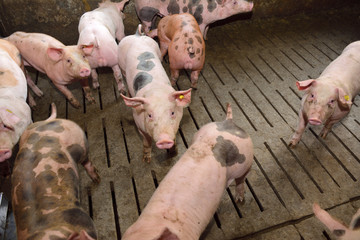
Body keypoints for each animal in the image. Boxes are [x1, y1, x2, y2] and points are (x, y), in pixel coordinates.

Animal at [119, 24, 193, 163]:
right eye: (149, 115)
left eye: (172, 113)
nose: (164, 140)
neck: (156, 91)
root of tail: (137, 35)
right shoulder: (139, 125)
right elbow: (146, 142)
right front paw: (146, 160)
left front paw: (173, 152)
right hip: (120, 63)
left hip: (157, 50)